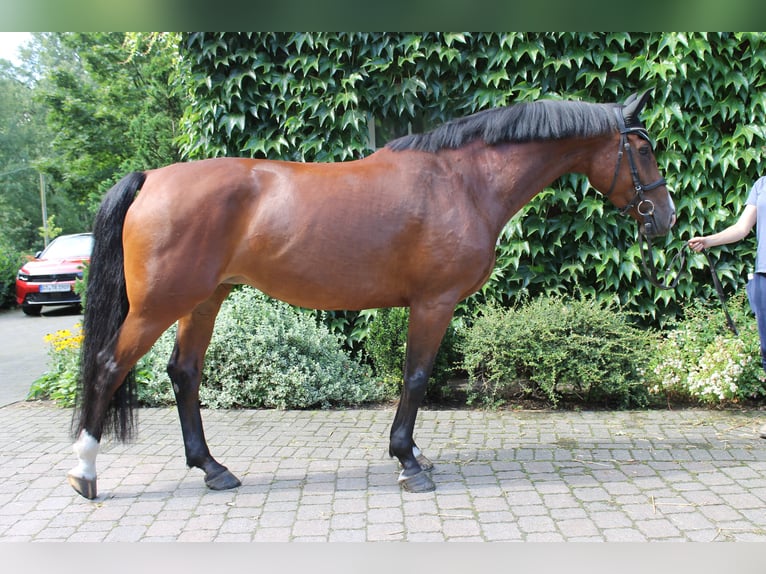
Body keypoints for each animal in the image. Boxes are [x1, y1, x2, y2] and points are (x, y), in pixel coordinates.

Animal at [67, 90, 680, 500]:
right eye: (643, 149)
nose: (665, 219)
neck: (464, 181)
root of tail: (151, 178)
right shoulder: (434, 303)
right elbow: (416, 377)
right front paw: (408, 461)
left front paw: (413, 455)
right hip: (157, 307)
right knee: (108, 366)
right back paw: (85, 472)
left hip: (203, 300)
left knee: (184, 374)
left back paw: (213, 469)